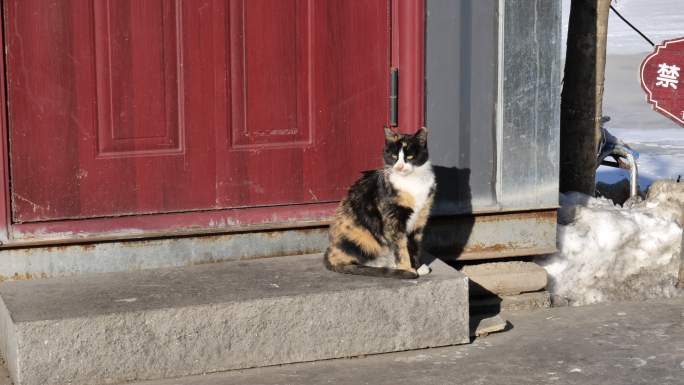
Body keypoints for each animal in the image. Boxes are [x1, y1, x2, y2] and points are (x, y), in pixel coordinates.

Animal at [322, 127, 438, 278]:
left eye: (410, 157)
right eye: (394, 156)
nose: (400, 167)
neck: (412, 181)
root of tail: (330, 251)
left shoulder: (420, 219)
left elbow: (415, 245)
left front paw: (418, 267)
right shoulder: (393, 219)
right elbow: (401, 248)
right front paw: (407, 269)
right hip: (359, 236)